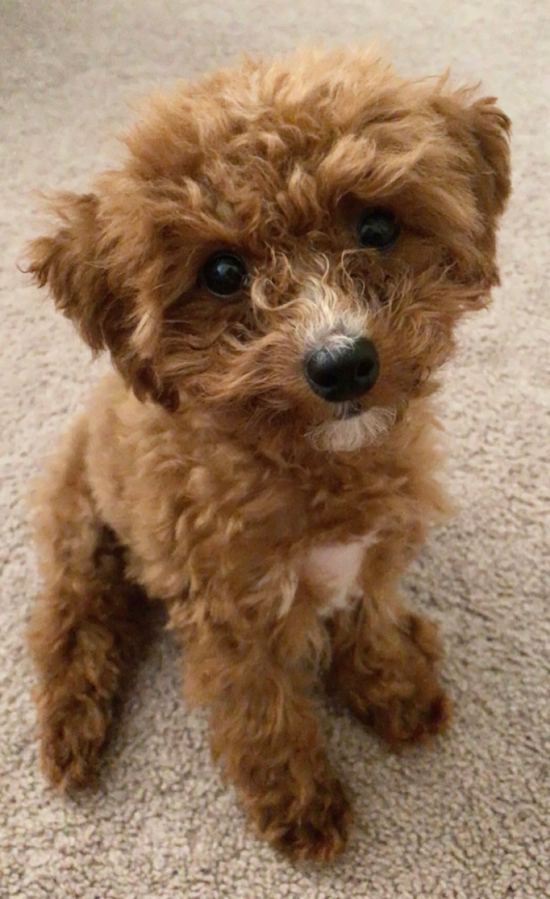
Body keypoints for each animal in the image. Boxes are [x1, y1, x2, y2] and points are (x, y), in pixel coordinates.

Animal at [24, 45, 508, 860]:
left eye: (377, 225)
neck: (316, 467)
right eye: (222, 272)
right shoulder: (230, 613)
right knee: (69, 622)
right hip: (80, 530)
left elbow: (372, 625)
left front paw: (396, 688)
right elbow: (261, 708)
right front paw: (301, 803)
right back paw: (71, 733)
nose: (343, 363)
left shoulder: (373, 559)